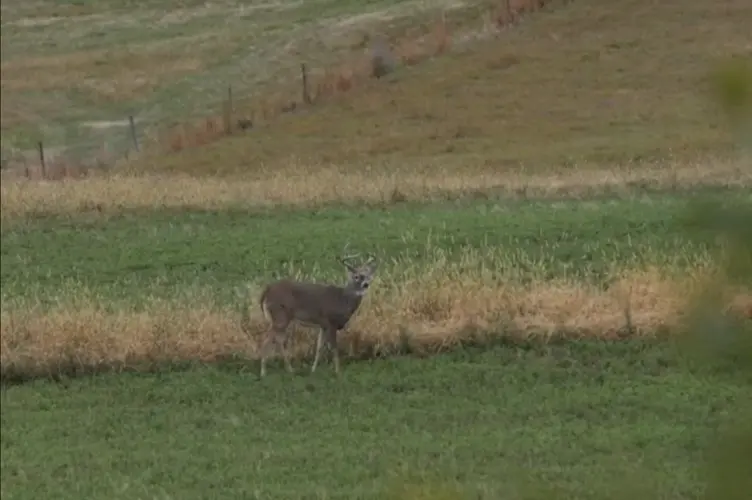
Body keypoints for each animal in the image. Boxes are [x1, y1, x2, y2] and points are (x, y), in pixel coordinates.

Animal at [255, 247, 378, 378]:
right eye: (356, 276)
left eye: (368, 276)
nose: (366, 284)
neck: (342, 300)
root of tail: (267, 290)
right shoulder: (331, 322)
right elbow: (334, 348)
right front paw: (338, 371)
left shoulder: (323, 325)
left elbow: (319, 347)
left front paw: (313, 370)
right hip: (280, 315)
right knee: (268, 338)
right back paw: (264, 372)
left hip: (279, 317)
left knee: (277, 339)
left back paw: (289, 370)